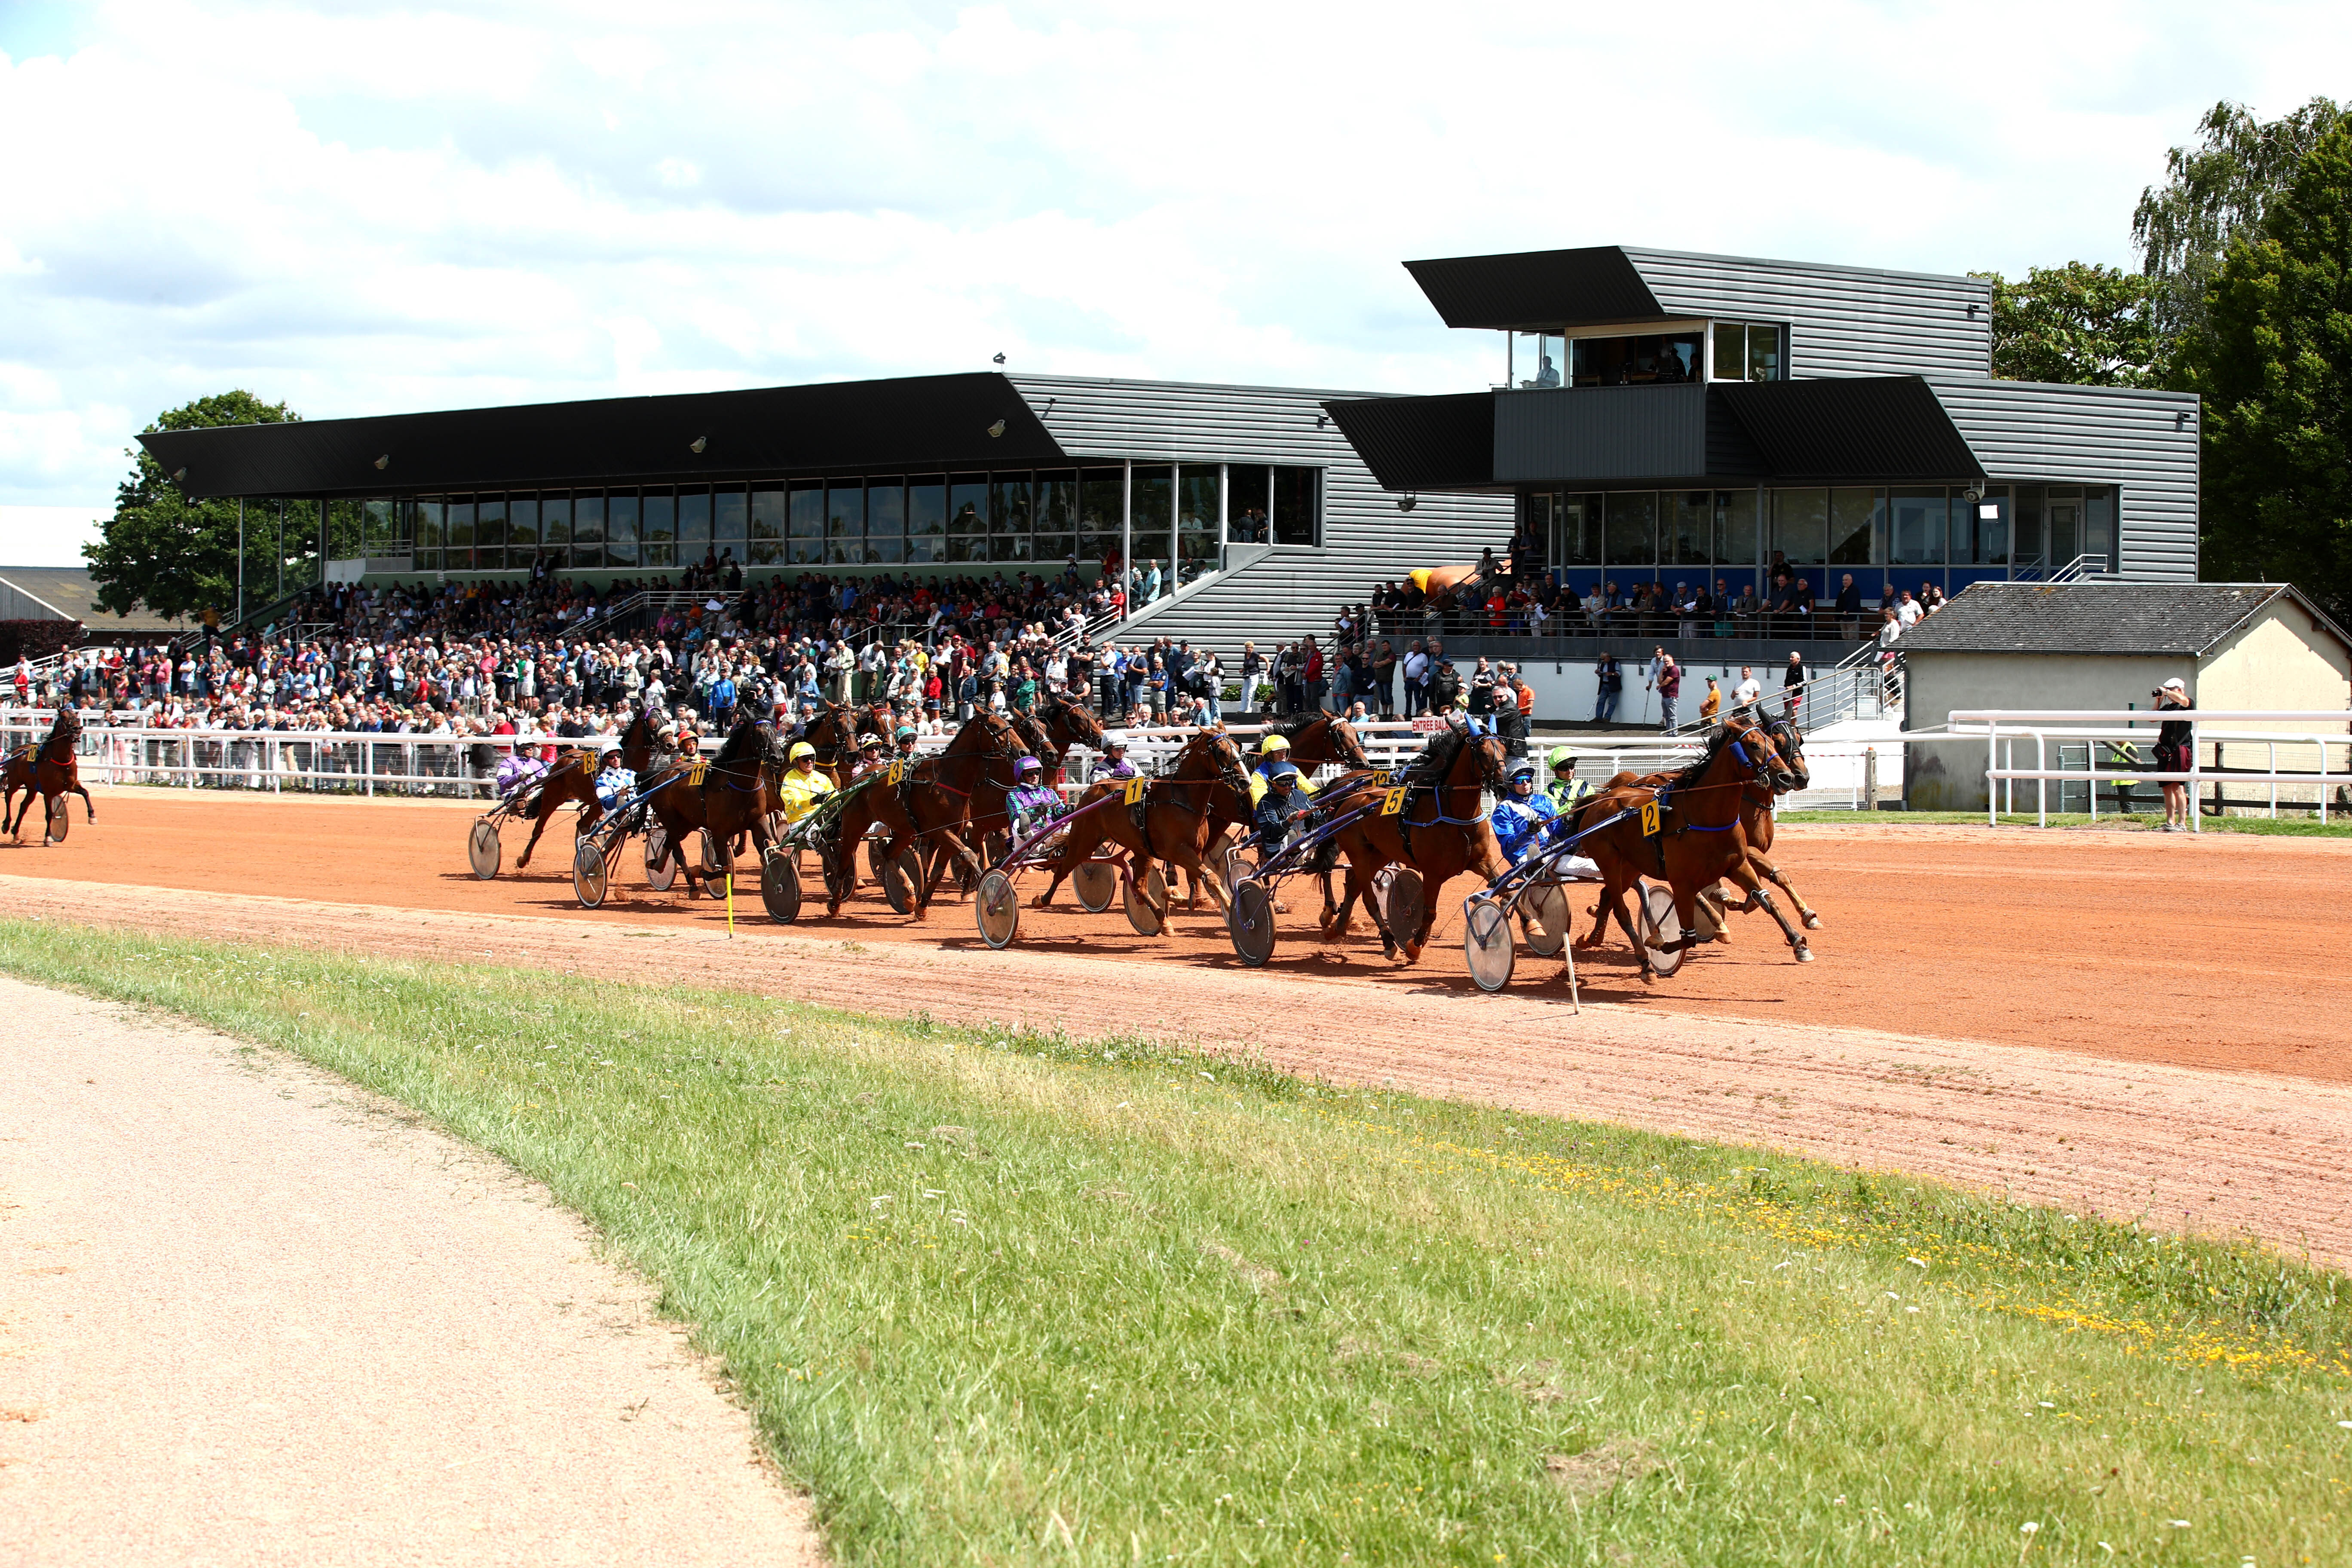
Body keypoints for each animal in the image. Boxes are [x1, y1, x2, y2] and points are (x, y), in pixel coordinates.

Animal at [1, 705, 94, 841]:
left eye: (76, 715)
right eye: (63, 717)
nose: (77, 729)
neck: (61, 760)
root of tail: (17, 751)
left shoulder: (71, 785)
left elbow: (85, 793)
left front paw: (92, 817)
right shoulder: (49, 793)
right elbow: (49, 814)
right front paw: (48, 837)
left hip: (32, 788)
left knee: (24, 806)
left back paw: (16, 832)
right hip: (15, 782)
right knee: (9, 796)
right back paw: (6, 825)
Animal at [1317, 729, 1514, 964]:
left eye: (1504, 750)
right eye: (1483, 753)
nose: (1504, 785)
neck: (1455, 816)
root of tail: (1350, 798)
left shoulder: (1482, 861)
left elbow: (1506, 891)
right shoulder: (1432, 874)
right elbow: (1429, 913)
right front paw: (1414, 946)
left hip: (1380, 854)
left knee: (1354, 885)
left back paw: (1338, 927)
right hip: (1358, 854)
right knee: (1366, 896)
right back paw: (1386, 941)